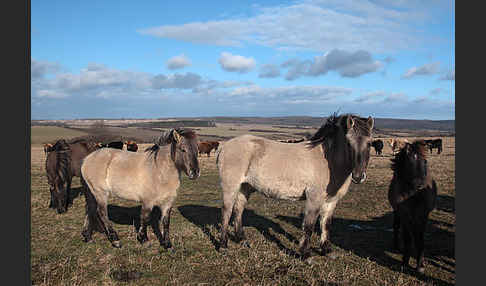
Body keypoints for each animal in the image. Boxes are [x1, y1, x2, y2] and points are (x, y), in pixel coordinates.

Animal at [217, 112, 376, 256]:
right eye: (348, 143)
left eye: (369, 143)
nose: (358, 176)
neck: (328, 161)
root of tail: (224, 146)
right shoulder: (314, 198)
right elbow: (309, 226)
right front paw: (305, 253)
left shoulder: (331, 201)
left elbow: (326, 224)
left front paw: (326, 249)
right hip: (231, 187)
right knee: (226, 211)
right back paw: (223, 245)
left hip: (245, 187)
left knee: (238, 210)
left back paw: (242, 240)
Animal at [390, 140, 438, 274]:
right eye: (410, 160)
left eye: (425, 161)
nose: (420, 185)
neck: (413, 195)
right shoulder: (404, 215)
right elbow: (407, 238)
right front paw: (404, 262)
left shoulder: (423, 215)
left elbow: (419, 238)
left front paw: (420, 265)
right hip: (397, 213)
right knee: (396, 227)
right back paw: (396, 246)